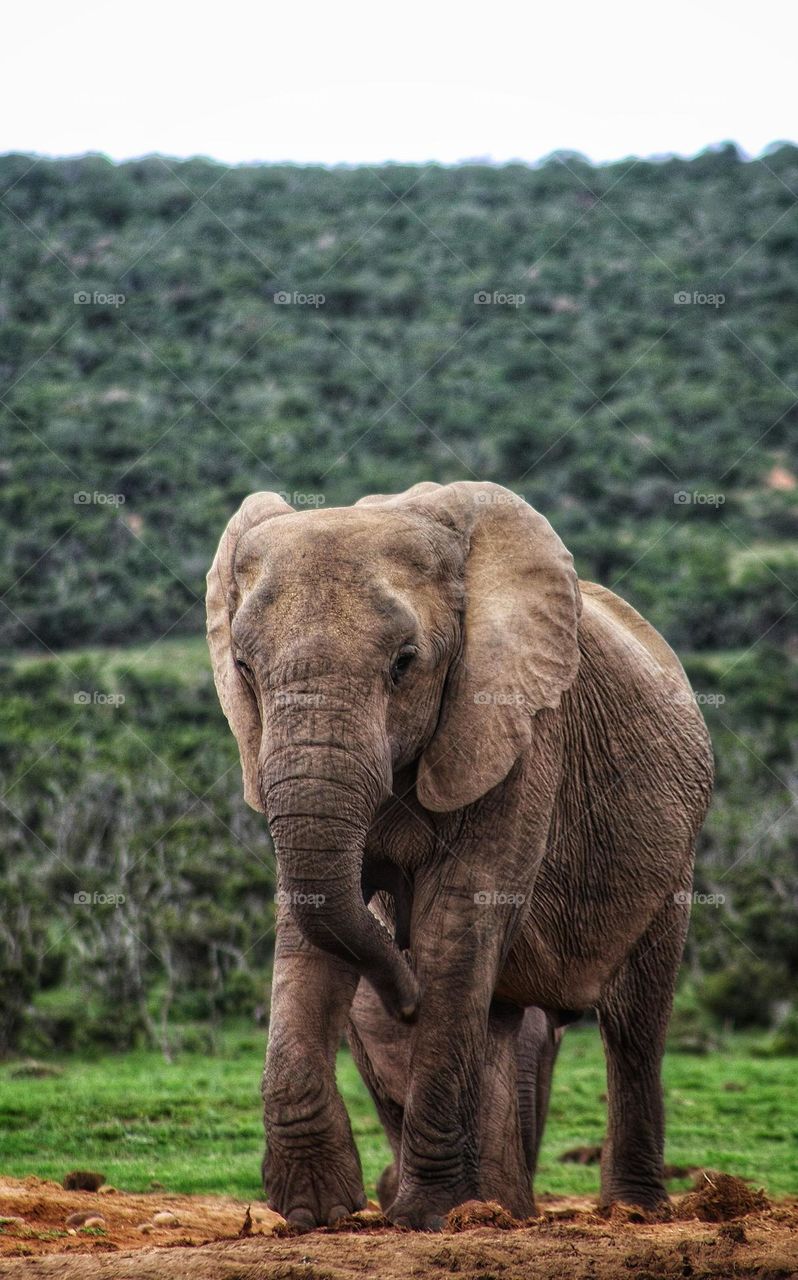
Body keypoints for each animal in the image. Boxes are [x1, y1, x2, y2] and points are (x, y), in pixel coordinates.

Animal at [206, 478, 712, 1228]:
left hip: (673, 852)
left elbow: (455, 923)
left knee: (632, 1026)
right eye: (243, 668)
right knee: (499, 1017)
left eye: (404, 665)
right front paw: (317, 1214)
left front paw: (423, 1216)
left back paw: (631, 1213)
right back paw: (501, 1210)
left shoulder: (516, 728)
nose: (402, 993)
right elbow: (311, 919)